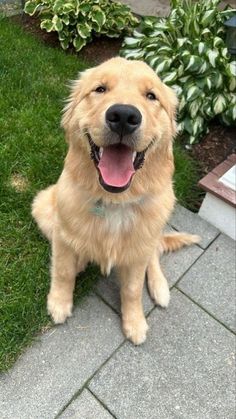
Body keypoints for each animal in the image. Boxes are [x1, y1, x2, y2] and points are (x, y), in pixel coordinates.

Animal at [31, 56, 199, 344]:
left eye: (151, 96)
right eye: (100, 89)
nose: (123, 116)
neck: (114, 201)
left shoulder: (139, 249)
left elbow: (132, 289)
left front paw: (135, 322)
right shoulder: (62, 231)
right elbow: (63, 270)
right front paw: (59, 303)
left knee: (154, 254)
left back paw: (160, 287)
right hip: (42, 205)